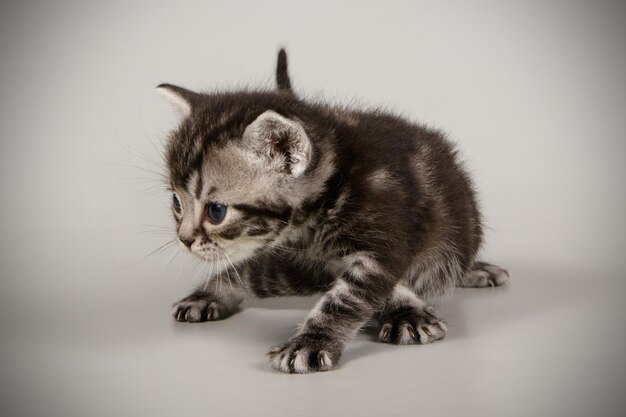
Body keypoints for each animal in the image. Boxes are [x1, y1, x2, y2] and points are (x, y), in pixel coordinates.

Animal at [156, 48, 508, 374]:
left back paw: (475, 270)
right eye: (176, 202)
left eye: (216, 211)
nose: (184, 239)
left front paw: (310, 343)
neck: (332, 189)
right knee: (252, 273)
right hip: (293, 272)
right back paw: (206, 296)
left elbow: (346, 297)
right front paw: (404, 310)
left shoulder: (382, 244)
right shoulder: (312, 258)